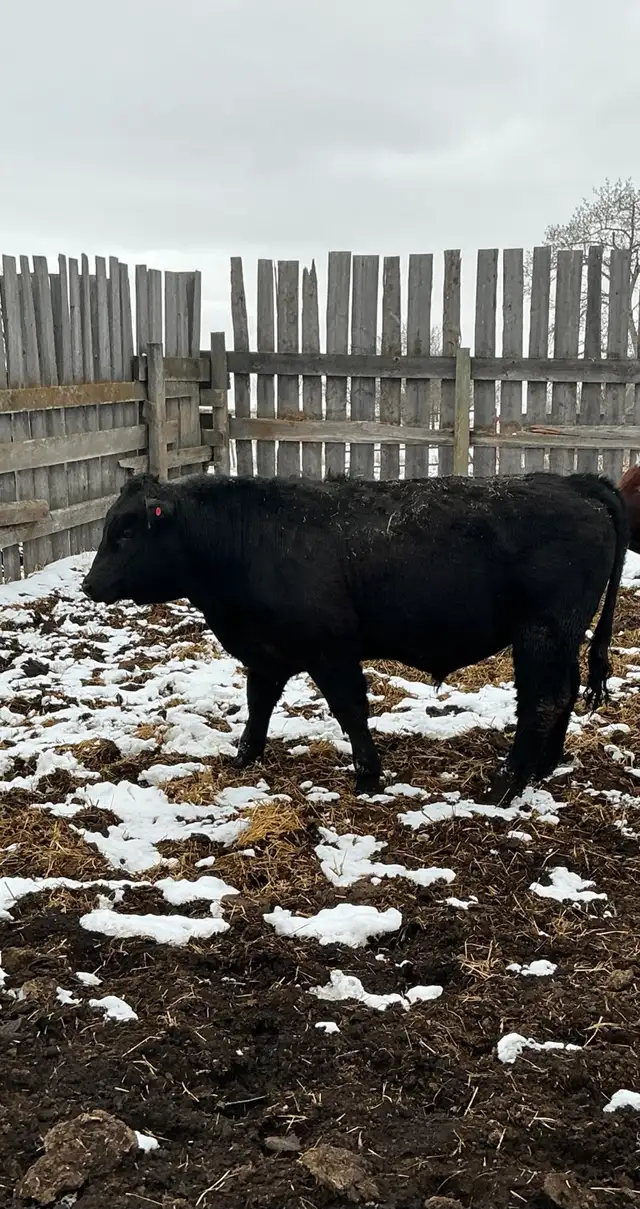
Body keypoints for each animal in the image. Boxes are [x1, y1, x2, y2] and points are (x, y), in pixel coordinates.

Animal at [82, 470, 628, 804]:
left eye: (126, 531)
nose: (89, 585)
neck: (248, 538)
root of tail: (576, 483)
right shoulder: (267, 652)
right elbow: (258, 705)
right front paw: (243, 759)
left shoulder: (332, 651)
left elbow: (350, 711)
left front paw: (368, 775)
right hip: (560, 637)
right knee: (564, 693)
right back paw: (544, 768)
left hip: (541, 632)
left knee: (542, 700)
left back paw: (505, 784)